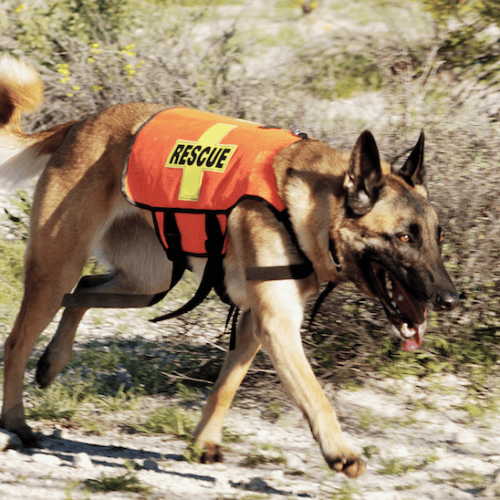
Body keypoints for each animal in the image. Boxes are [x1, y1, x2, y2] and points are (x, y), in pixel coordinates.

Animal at [0, 56, 458, 478]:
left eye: (437, 237)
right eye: (404, 238)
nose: (450, 300)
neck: (307, 207)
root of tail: (82, 123)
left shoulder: (255, 321)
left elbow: (226, 387)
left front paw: (204, 442)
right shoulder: (277, 324)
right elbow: (317, 396)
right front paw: (339, 451)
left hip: (148, 282)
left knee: (82, 291)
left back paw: (53, 362)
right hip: (55, 271)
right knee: (18, 340)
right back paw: (16, 422)